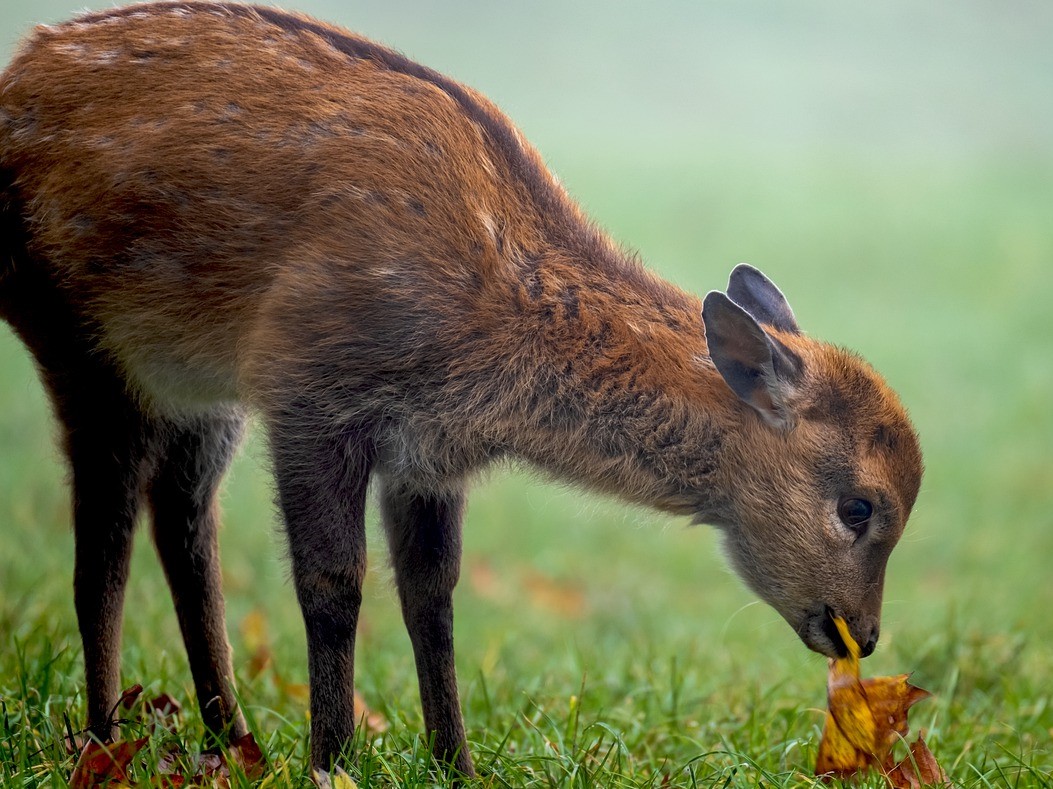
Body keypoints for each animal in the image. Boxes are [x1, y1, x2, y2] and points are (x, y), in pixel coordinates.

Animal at [0, 0, 922, 775]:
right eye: (859, 506)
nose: (864, 634)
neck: (484, 350)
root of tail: (15, 74)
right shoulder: (309, 386)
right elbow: (332, 582)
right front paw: (333, 761)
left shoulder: (427, 455)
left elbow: (432, 596)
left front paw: (455, 763)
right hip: (77, 336)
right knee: (104, 543)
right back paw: (104, 739)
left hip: (199, 387)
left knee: (186, 527)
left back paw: (232, 741)